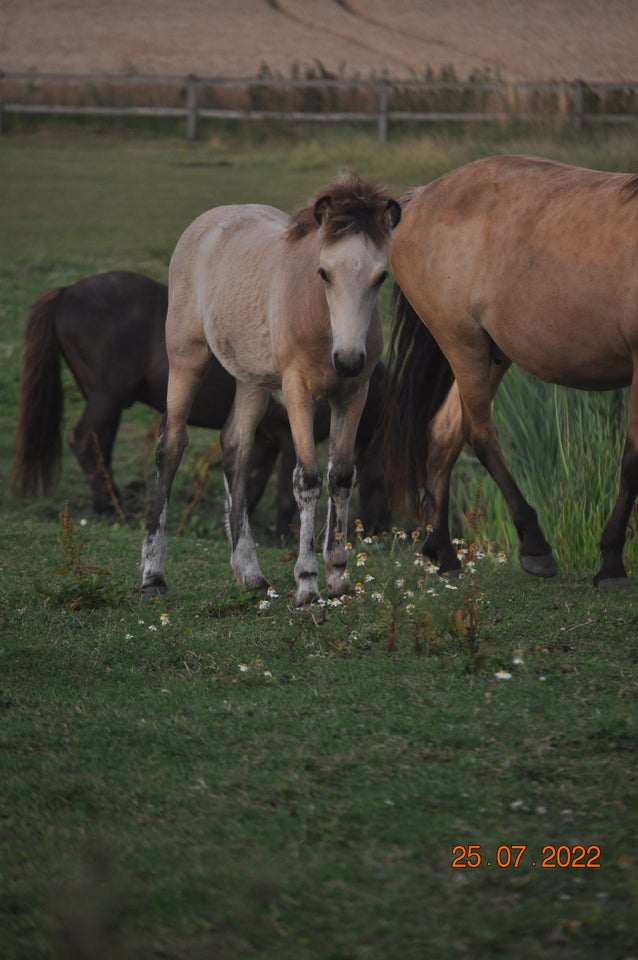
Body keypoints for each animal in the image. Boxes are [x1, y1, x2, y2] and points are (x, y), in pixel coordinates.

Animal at [12, 270, 392, 536]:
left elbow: (251, 483)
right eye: (381, 478)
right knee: (83, 441)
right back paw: (112, 508)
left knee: (98, 445)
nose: (379, 529)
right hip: (107, 398)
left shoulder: (266, 439)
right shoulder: (290, 436)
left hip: (109, 403)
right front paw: (285, 535)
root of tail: (65, 292)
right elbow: (285, 491)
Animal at [141, 176, 400, 604]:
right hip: (186, 357)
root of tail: (212, 219)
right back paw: (153, 575)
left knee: (236, 446)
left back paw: (250, 573)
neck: (321, 320)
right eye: (324, 273)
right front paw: (307, 583)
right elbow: (307, 479)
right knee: (171, 447)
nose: (347, 359)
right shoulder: (298, 392)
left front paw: (339, 576)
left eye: (381, 276)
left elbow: (342, 476)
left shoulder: (353, 395)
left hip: (251, 379)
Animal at [384, 155, 638, 588]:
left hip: (492, 355)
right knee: (479, 435)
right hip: (463, 344)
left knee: (444, 434)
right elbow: (633, 460)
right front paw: (610, 564)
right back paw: (534, 546)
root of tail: (419, 199)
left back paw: (444, 554)